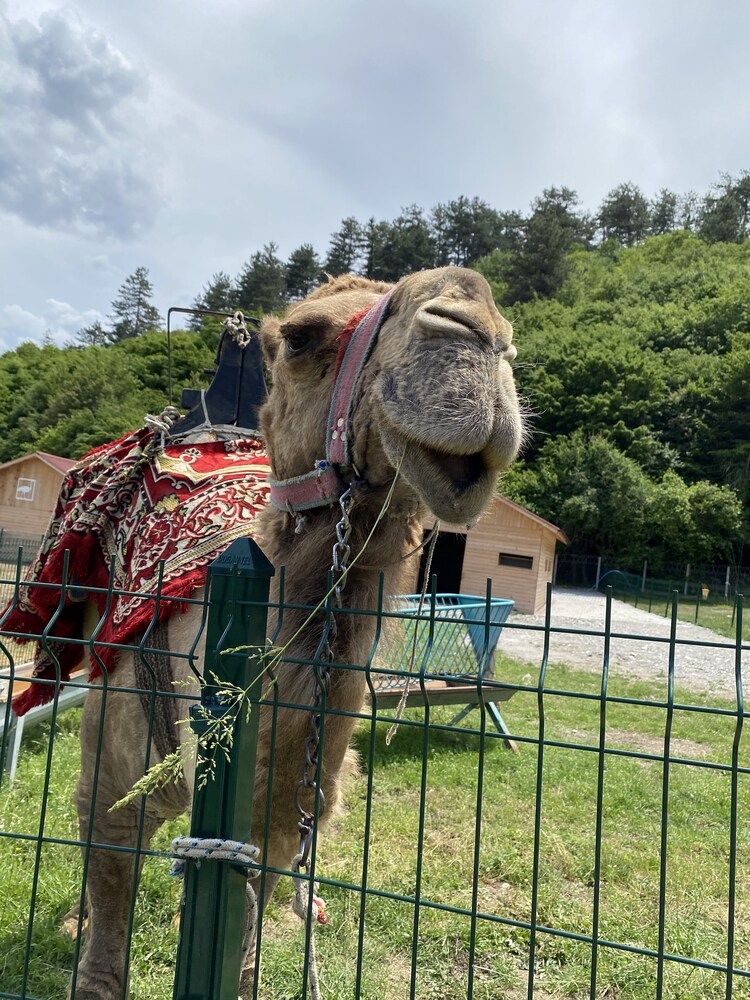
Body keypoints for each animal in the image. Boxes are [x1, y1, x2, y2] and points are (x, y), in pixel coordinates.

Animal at [53, 264, 524, 992]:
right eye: (304, 336)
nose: (475, 328)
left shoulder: (277, 823)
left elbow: (244, 940)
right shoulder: (114, 769)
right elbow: (107, 895)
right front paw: (90, 949)